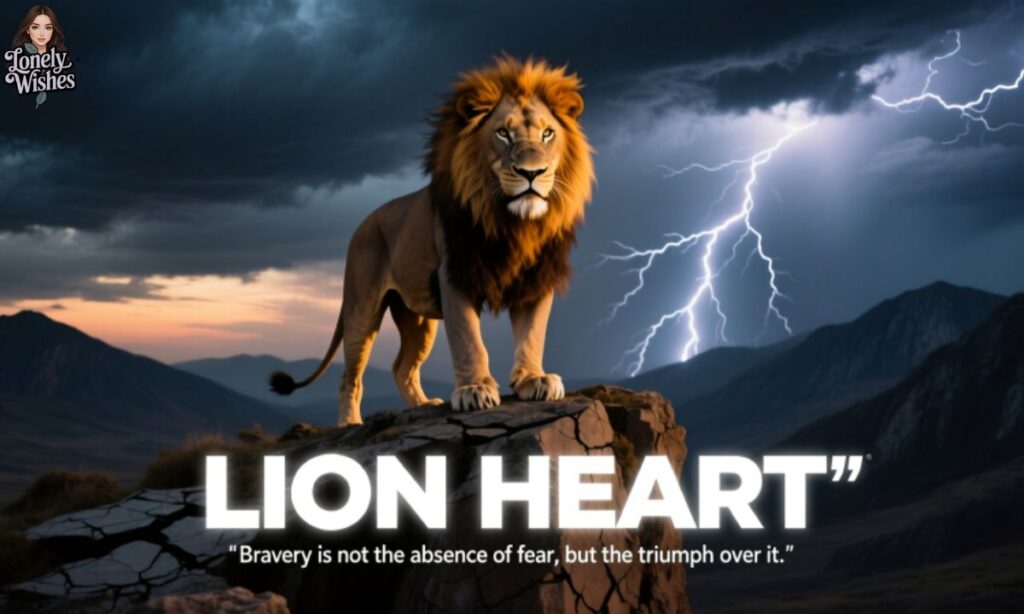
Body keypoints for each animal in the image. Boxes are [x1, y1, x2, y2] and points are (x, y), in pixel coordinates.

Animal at [269, 57, 595, 426]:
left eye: (547, 133)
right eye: (503, 133)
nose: (531, 173)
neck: (512, 224)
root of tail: (363, 224)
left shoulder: (536, 277)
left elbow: (532, 334)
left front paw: (533, 379)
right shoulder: (454, 273)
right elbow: (468, 338)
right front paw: (474, 390)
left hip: (418, 317)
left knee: (402, 367)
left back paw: (423, 405)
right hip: (361, 308)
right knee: (349, 375)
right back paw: (350, 423)